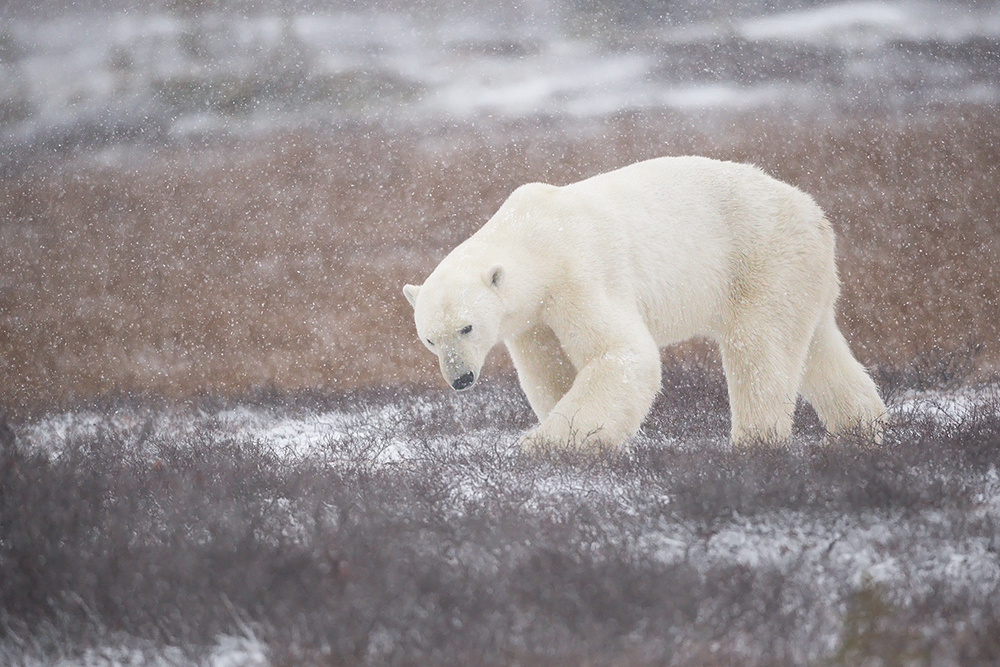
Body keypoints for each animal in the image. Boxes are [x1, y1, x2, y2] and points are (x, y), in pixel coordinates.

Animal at [402, 156, 888, 448]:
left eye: (467, 327)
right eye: (430, 339)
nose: (461, 378)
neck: (533, 234)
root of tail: (815, 214)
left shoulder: (579, 275)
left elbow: (621, 353)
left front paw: (544, 444)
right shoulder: (532, 318)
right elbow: (550, 370)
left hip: (763, 259)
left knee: (758, 350)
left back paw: (754, 442)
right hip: (801, 276)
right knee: (818, 350)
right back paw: (861, 430)